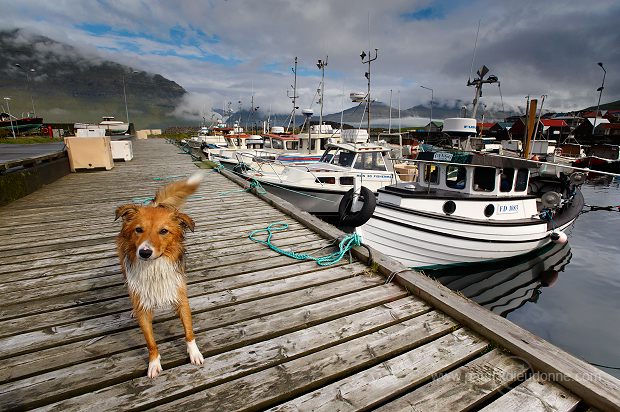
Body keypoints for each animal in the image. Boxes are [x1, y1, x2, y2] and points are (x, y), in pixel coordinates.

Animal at [114, 172, 203, 378]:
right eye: (139, 229)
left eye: (164, 231)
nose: (144, 252)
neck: (154, 266)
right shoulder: (144, 308)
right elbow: (151, 342)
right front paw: (154, 363)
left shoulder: (180, 296)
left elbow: (189, 332)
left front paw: (194, 353)